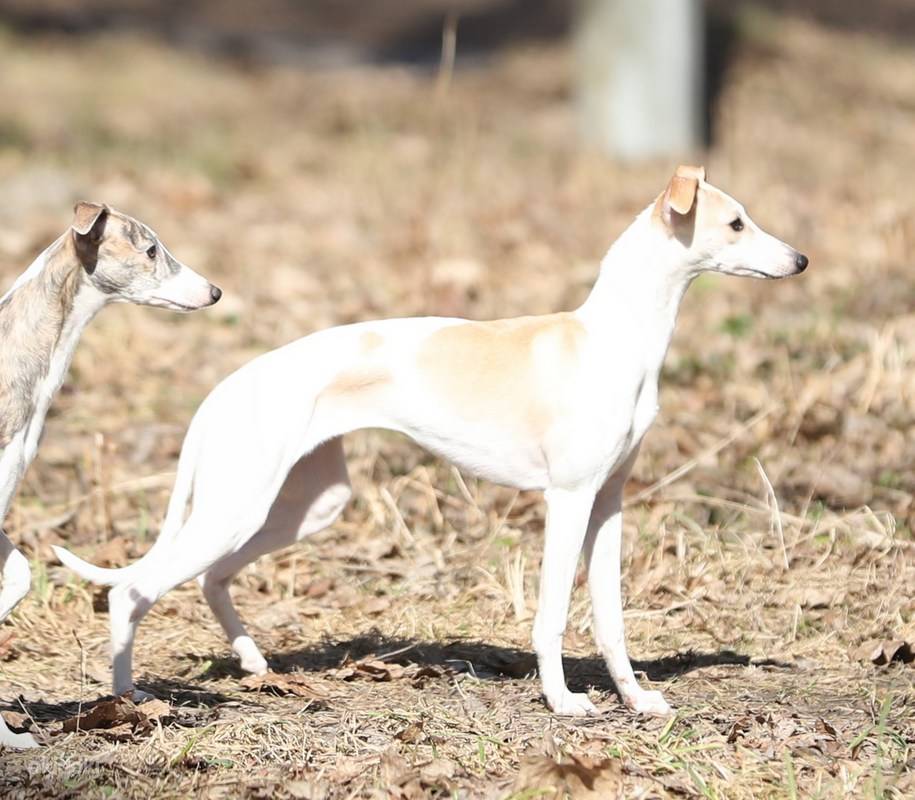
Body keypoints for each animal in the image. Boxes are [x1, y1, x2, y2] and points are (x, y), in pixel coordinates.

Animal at [57, 169, 808, 720]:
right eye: (736, 222)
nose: (800, 259)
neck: (613, 336)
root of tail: (224, 387)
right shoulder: (568, 501)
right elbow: (552, 616)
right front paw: (564, 703)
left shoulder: (609, 505)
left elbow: (612, 621)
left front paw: (635, 699)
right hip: (240, 505)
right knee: (133, 591)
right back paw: (126, 701)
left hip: (303, 504)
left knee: (212, 577)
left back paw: (256, 665)